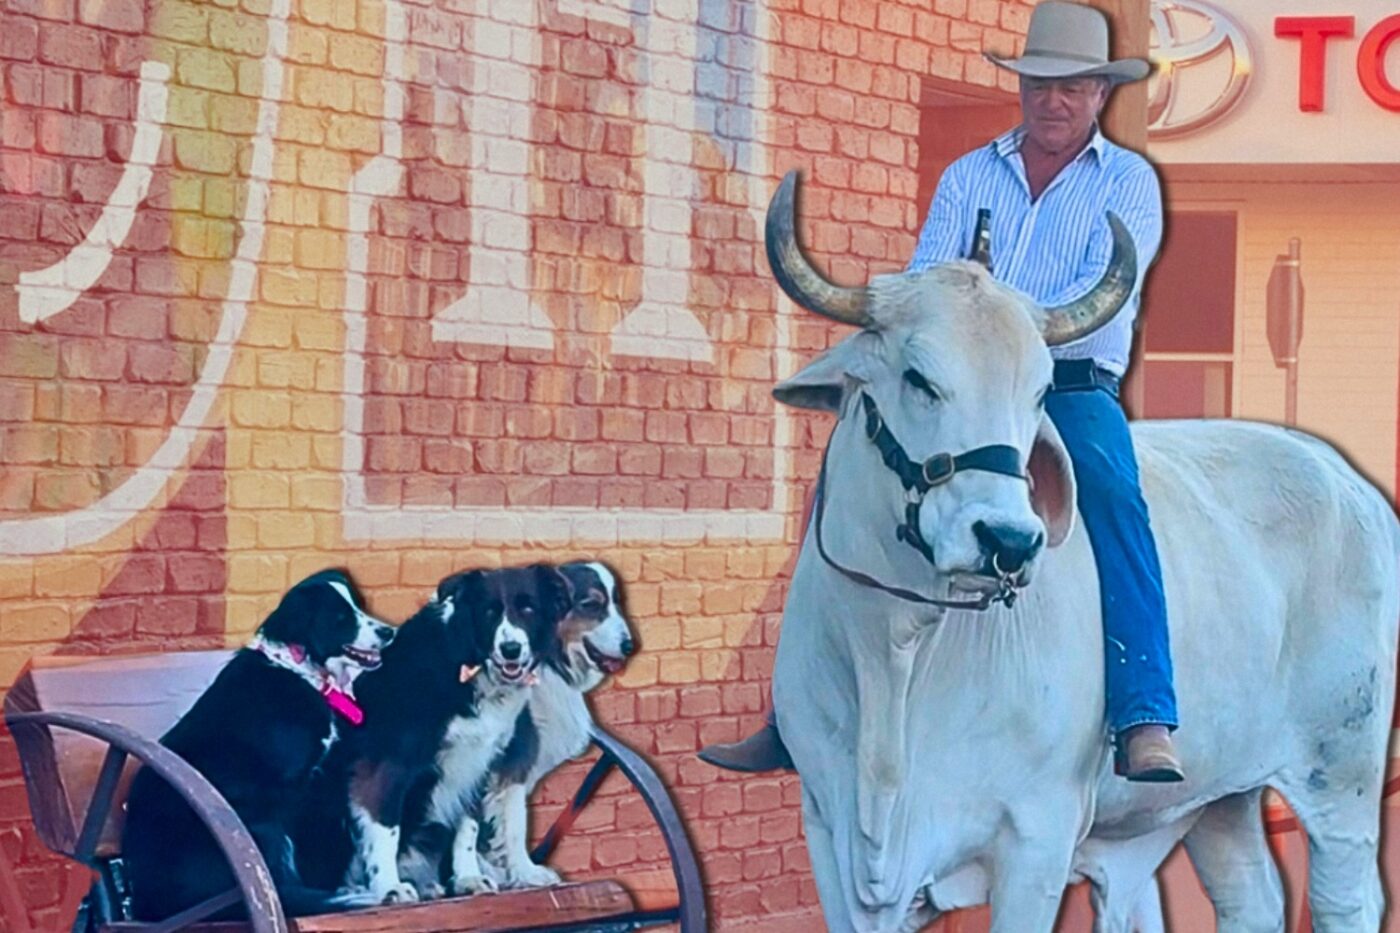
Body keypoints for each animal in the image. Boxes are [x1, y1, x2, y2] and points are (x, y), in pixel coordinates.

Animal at [296, 560, 568, 902]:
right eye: (489, 612)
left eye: (528, 608)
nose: (510, 649)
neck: (468, 666)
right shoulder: (388, 764)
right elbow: (386, 828)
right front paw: (388, 885)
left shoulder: (476, 762)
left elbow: (468, 828)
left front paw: (468, 878)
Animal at [478, 560, 638, 885]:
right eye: (590, 605)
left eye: (617, 602)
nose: (631, 646)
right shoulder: (513, 759)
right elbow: (514, 821)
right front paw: (525, 872)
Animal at [767, 168, 1400, 930]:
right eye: (918, 377)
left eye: (1041, 389)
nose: (1008, 540)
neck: (896, 650)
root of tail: (1342, 474)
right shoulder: (829, 837)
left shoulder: (1035, 838)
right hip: (1220, 791)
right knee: (1251, 895)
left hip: (1342, 772)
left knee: (1345, 896)